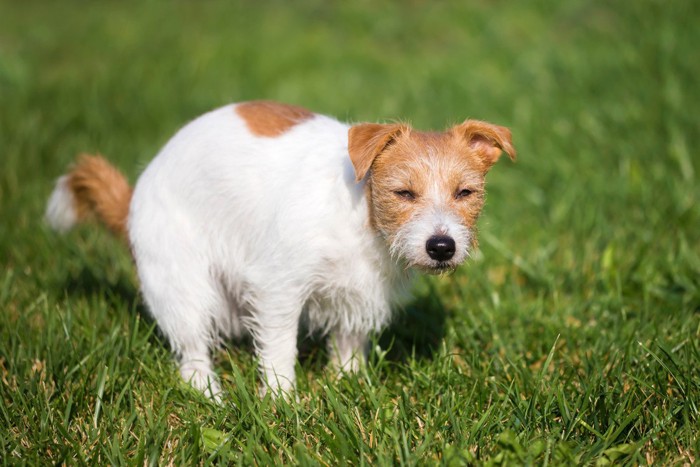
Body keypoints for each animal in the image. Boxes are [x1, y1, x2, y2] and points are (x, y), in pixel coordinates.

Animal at [45, 100, 516, 400]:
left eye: (465, 193)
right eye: (403, 192)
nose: (442, 247)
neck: (362, 215)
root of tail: (130, 203)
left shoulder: (359, 296)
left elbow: (348, 346)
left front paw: (347, 386)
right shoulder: (279, 288)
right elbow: (278, 348)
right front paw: (280, 400)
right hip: (181, 284)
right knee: (191, 348)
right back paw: (208, 392)